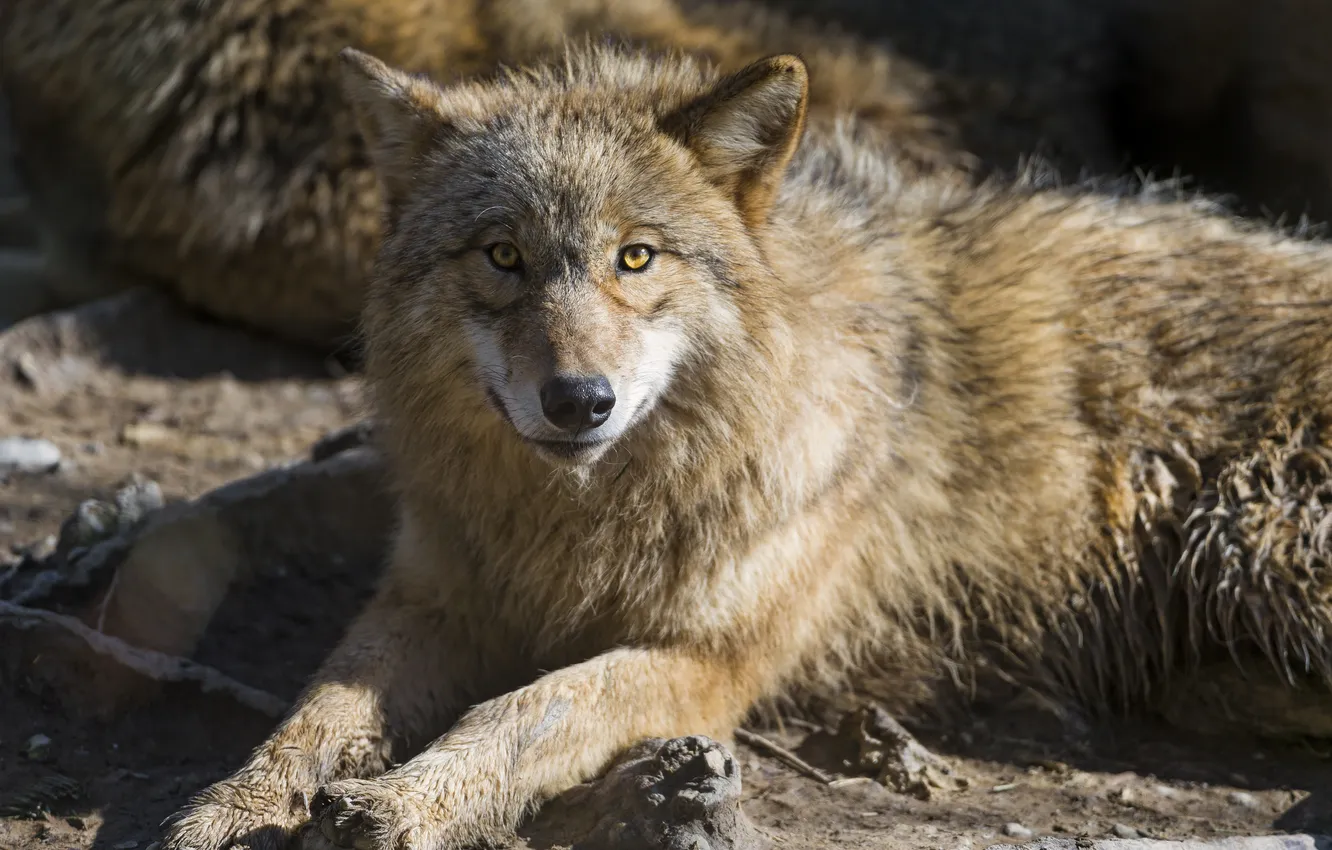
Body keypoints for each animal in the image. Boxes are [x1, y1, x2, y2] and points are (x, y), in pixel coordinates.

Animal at [156, 42, 1332, 850]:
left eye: (636, 258)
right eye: (503, 256)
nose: (577, 400)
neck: (584, 522)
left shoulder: (703, 660)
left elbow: (529, 708)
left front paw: (403, 801)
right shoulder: (435, 595)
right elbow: (316, 707)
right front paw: (236, 802)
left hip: (1256, 539)